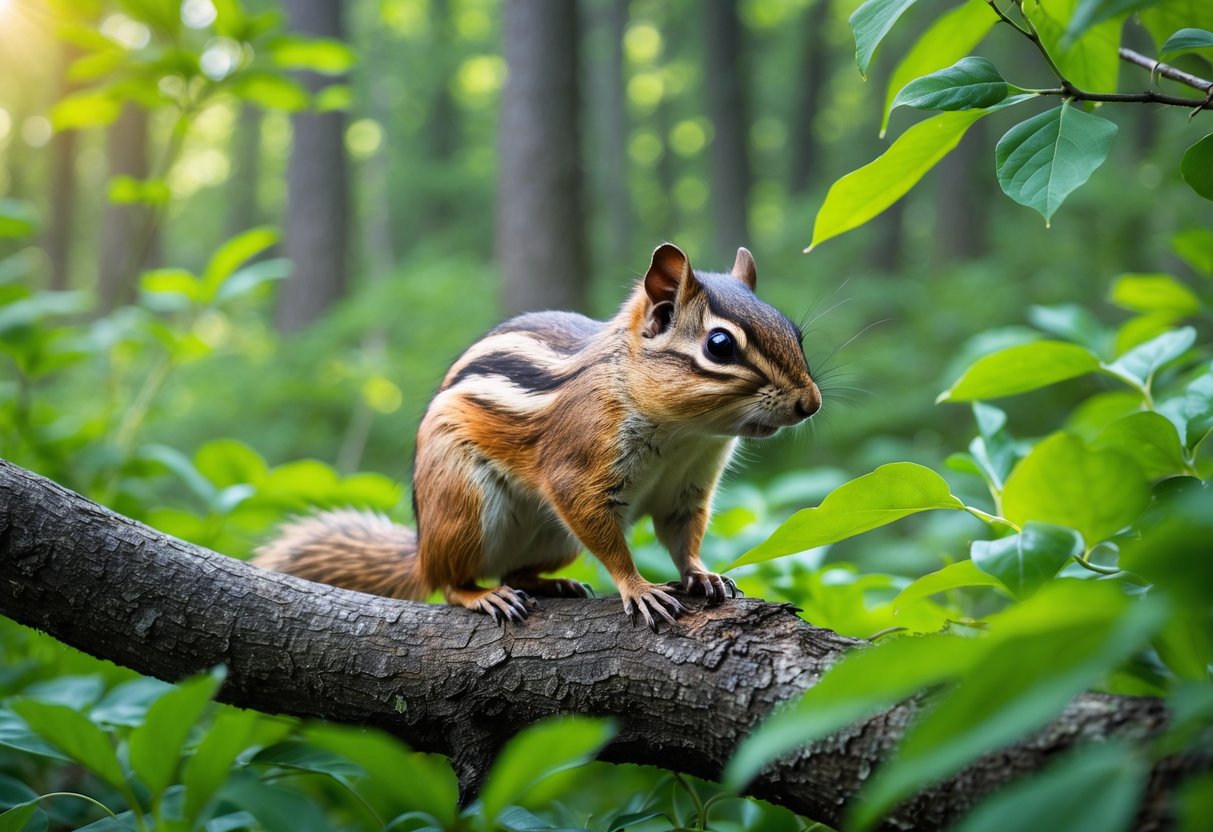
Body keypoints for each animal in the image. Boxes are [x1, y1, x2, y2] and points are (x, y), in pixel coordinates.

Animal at [255, 243, 821, 630]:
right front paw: (638, 587)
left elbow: (684, 537)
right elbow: (605, 535)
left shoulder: (688, 488)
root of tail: (421, 548)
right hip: (464, 507)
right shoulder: (580, 466)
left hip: (553, 539)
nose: (810, 403)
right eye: (720, 345)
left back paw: (555, 584)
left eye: (795, 332)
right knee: (449, 583)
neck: (687, 434)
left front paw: (702, 574)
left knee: (516, 572)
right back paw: (481, 596)